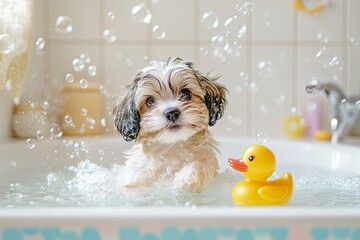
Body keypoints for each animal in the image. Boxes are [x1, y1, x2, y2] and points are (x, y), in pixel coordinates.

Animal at [114, 57, 226, 192]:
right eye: (150, 101)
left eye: (186, 93)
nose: (172, 113)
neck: (172, 146)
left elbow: (199, 165)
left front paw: (187, 177)